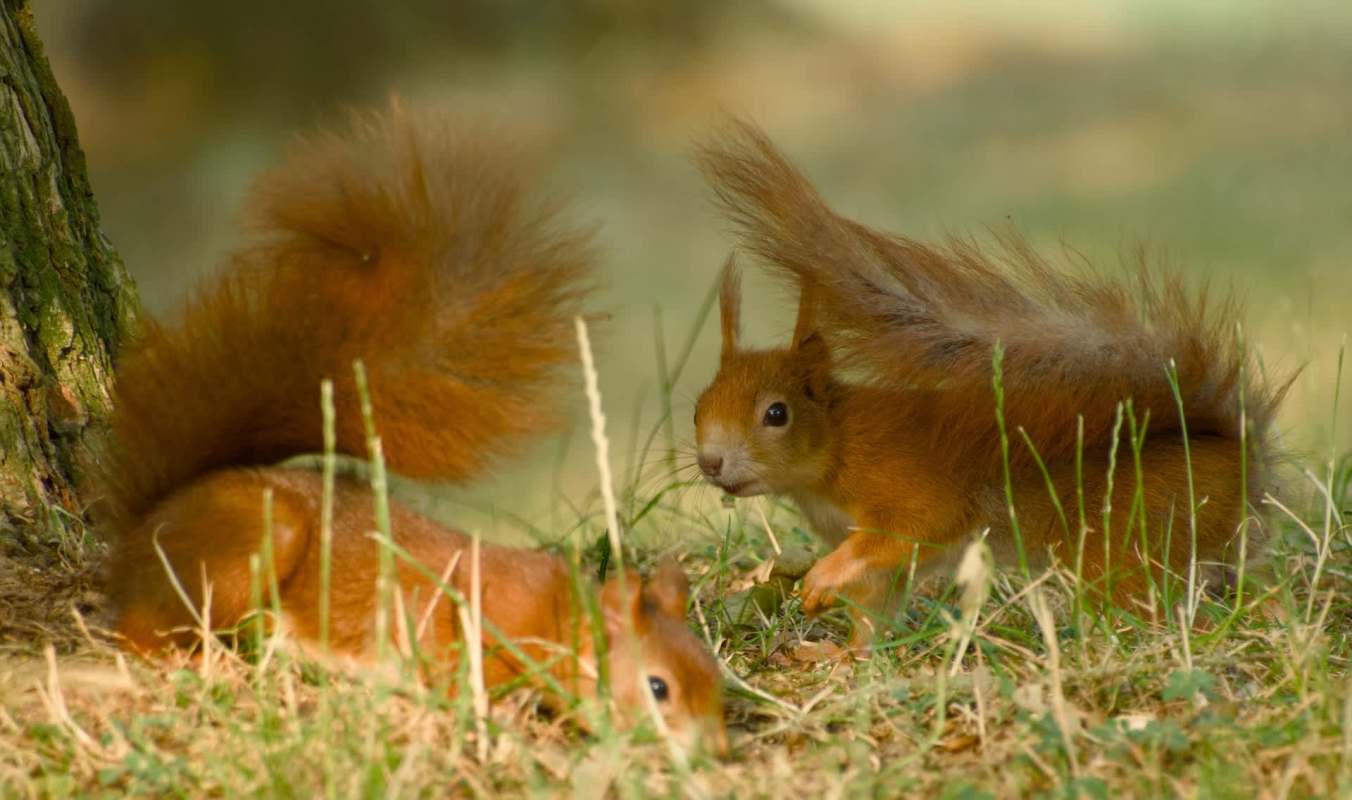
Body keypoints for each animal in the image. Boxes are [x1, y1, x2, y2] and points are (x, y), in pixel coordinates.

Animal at [82, 105, 726, 753]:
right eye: (659, 688)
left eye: (716, 678)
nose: (718, 751)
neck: (553, 615)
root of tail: (148, 523)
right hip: (251, 542)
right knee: (142, 632)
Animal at [691, 120, 1290, 646]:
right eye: (697, 408)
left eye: (777, 413)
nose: (711, 463)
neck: (835, 445)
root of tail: (1239, 458)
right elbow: (876, 600)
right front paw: (843, 654)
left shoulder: (904, 486)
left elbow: (911, 528)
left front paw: (821, 578)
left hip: (1130, 539)